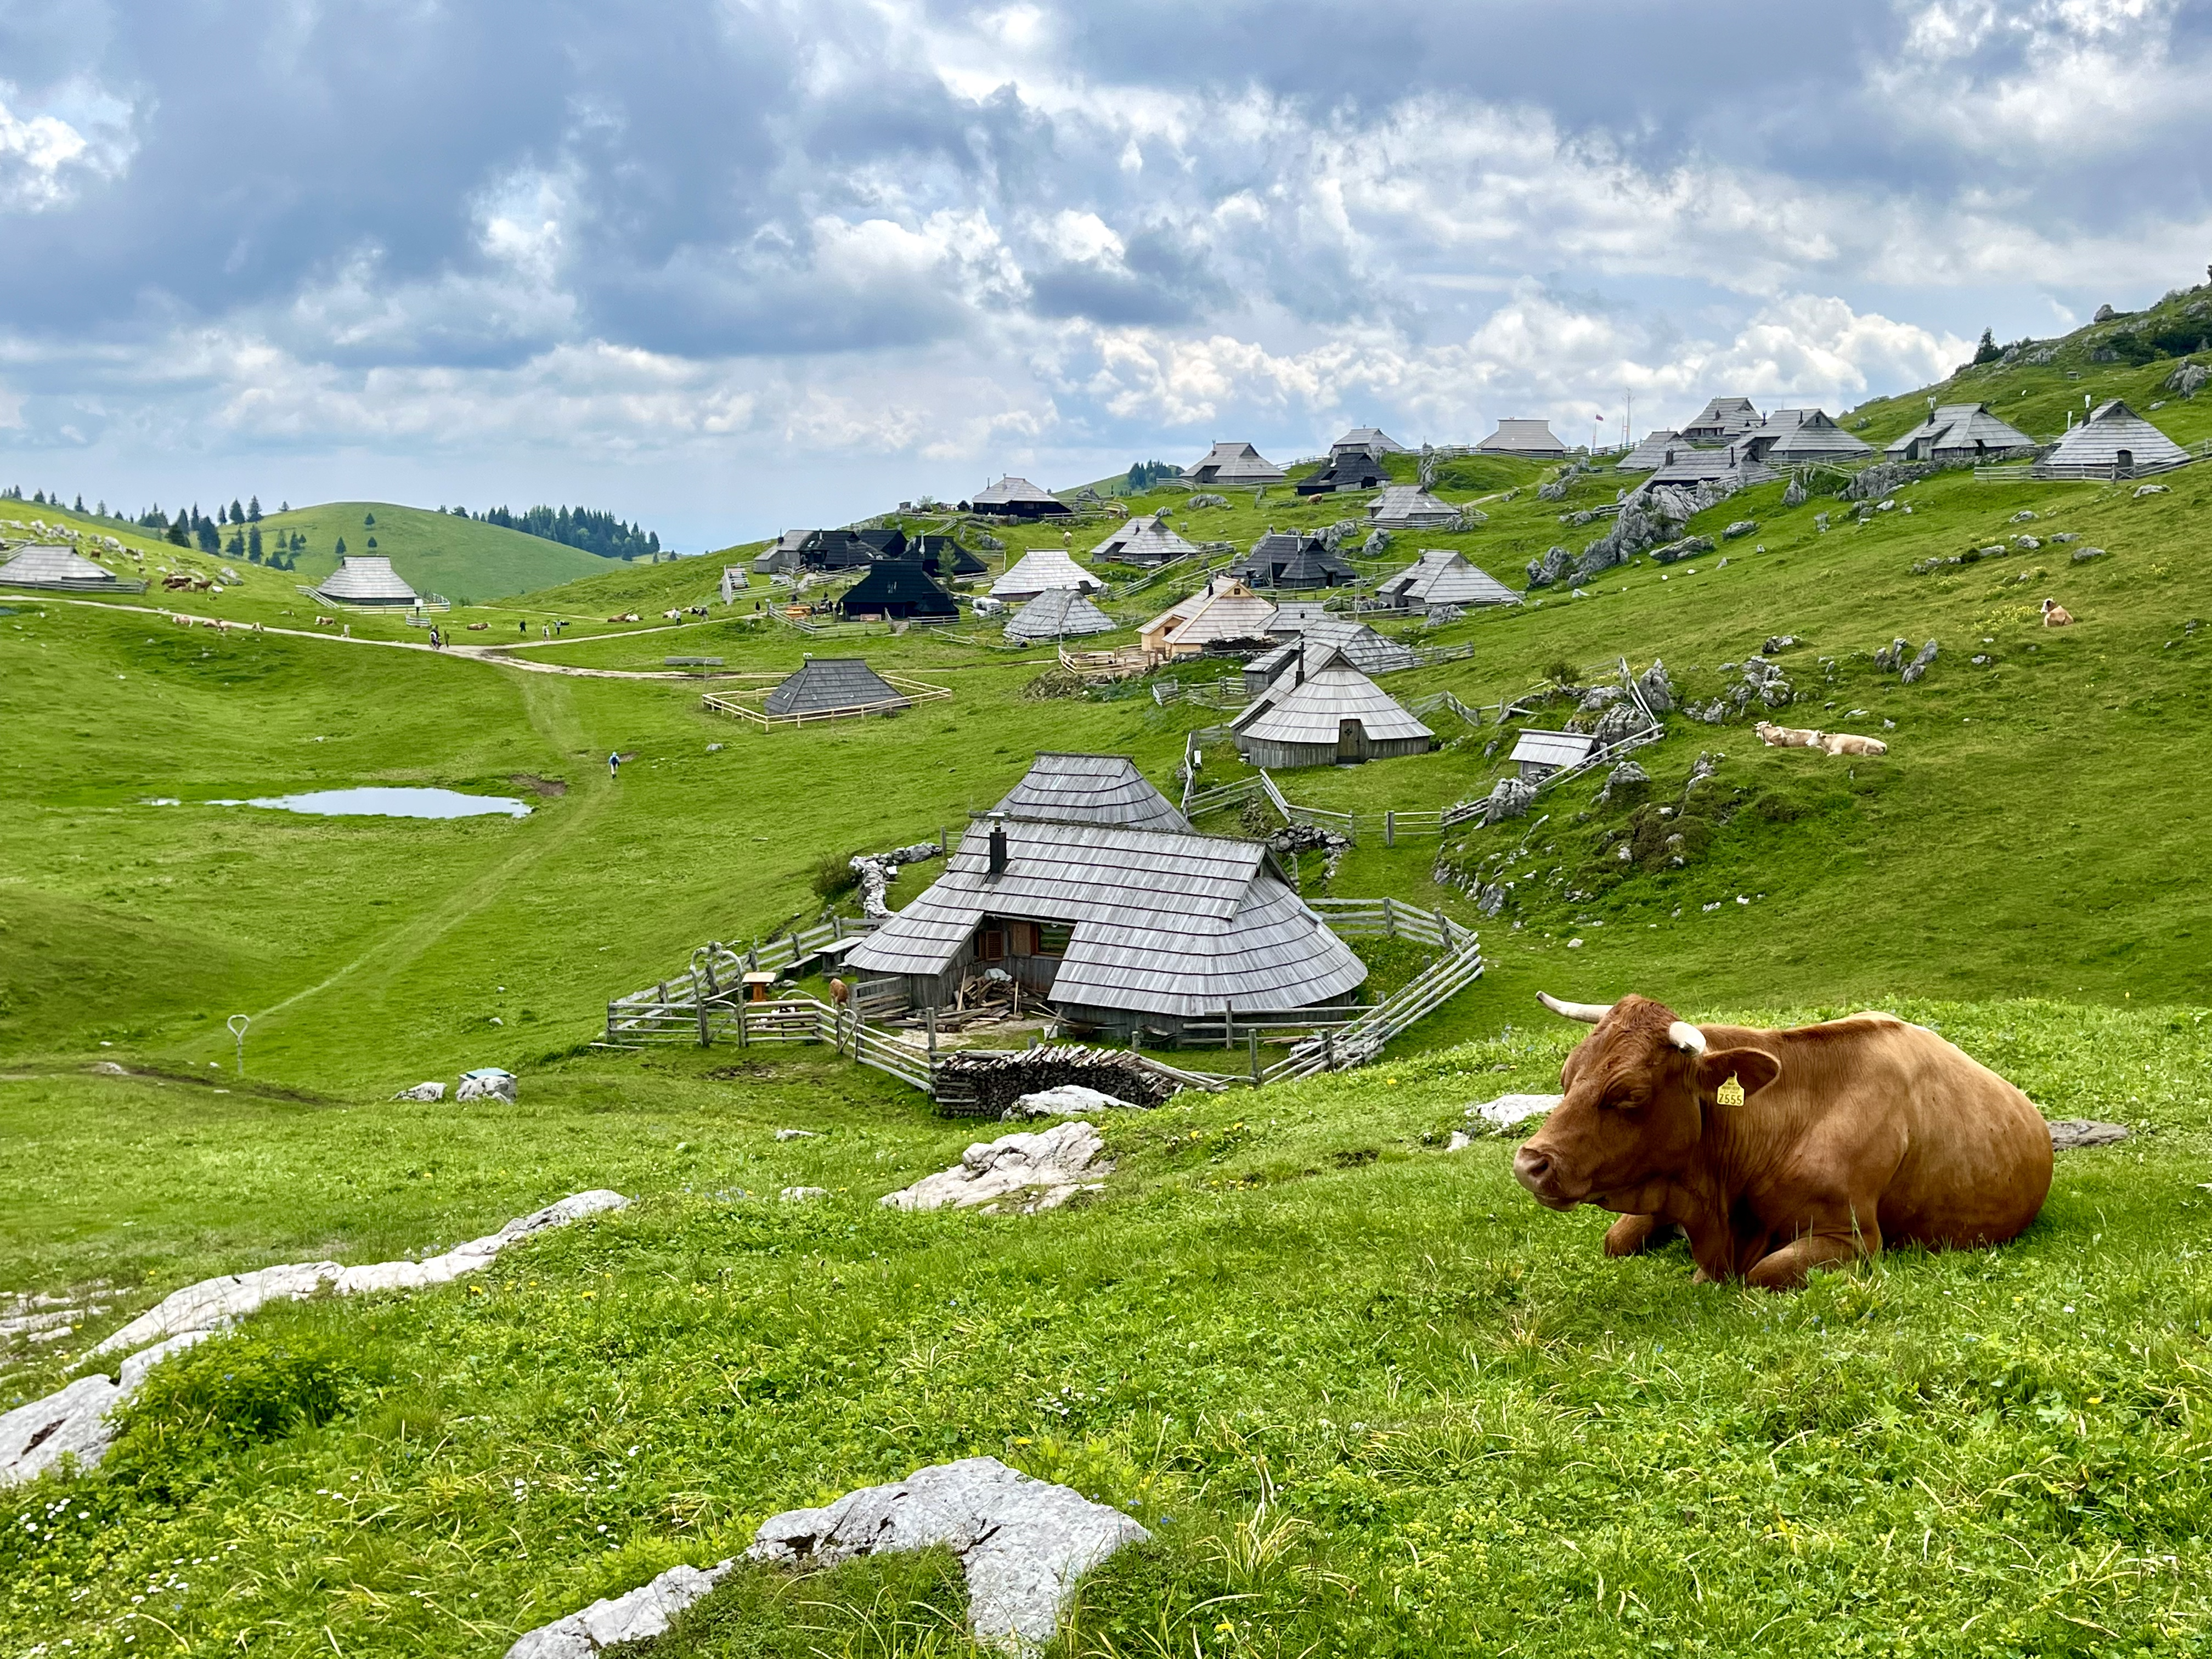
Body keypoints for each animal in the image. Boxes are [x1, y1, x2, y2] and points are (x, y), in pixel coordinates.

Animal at [1513, 995, 2044, 1291]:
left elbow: (1763, 1273)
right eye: (1566, 1077)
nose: (1528, 1164)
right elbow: (1615, 1240)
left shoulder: (1855, 1239)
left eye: (1629, 1094)